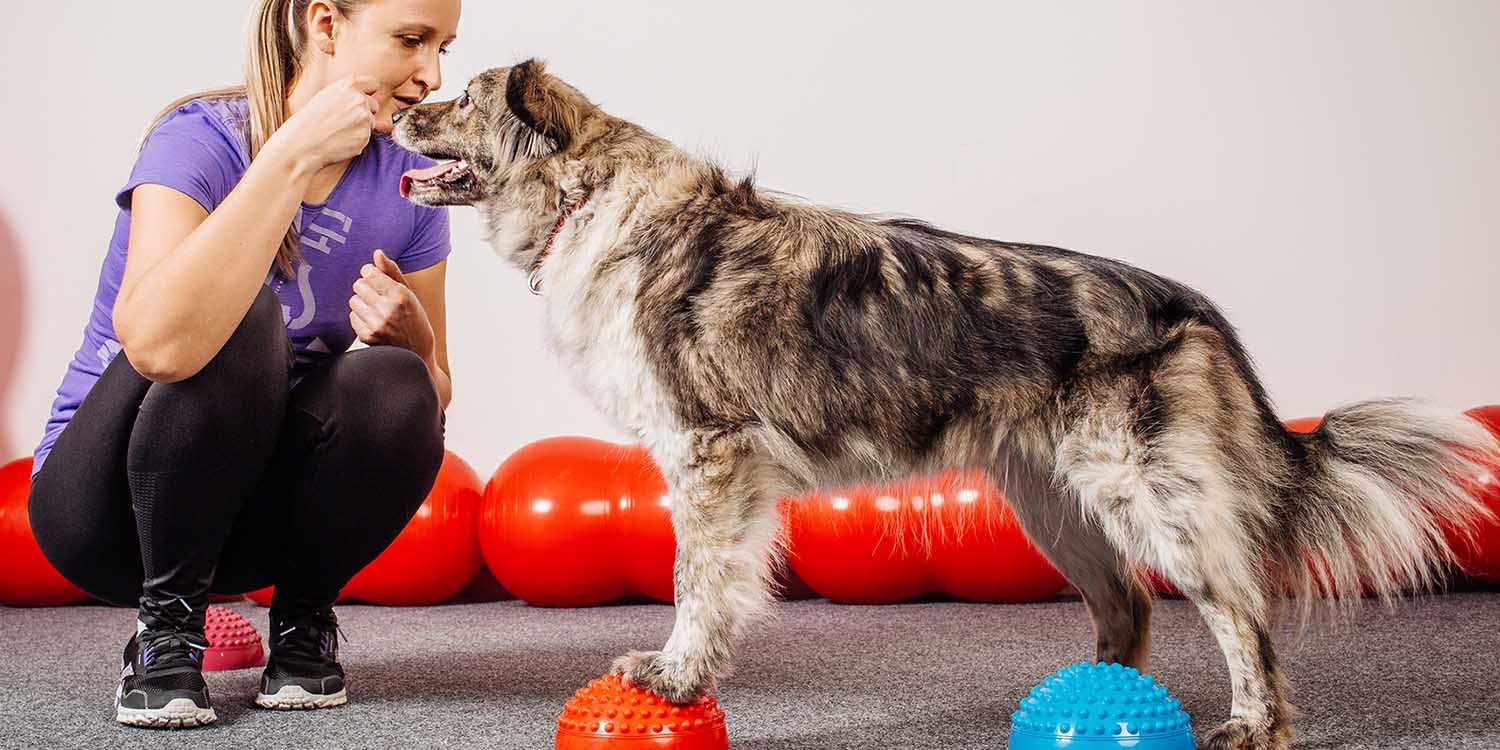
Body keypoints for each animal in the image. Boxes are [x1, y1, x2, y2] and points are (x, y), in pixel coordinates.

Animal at [390, 61, 1500, 747]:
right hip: (1055, 504)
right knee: (1130, 606)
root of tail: (1188, 306)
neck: (593, 198)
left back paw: (1255, 723)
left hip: (1148, 493)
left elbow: (696, 585)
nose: (399, 109)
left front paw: (673, 677)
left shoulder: (708, 456)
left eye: (462, 98)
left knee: (1241, 610)